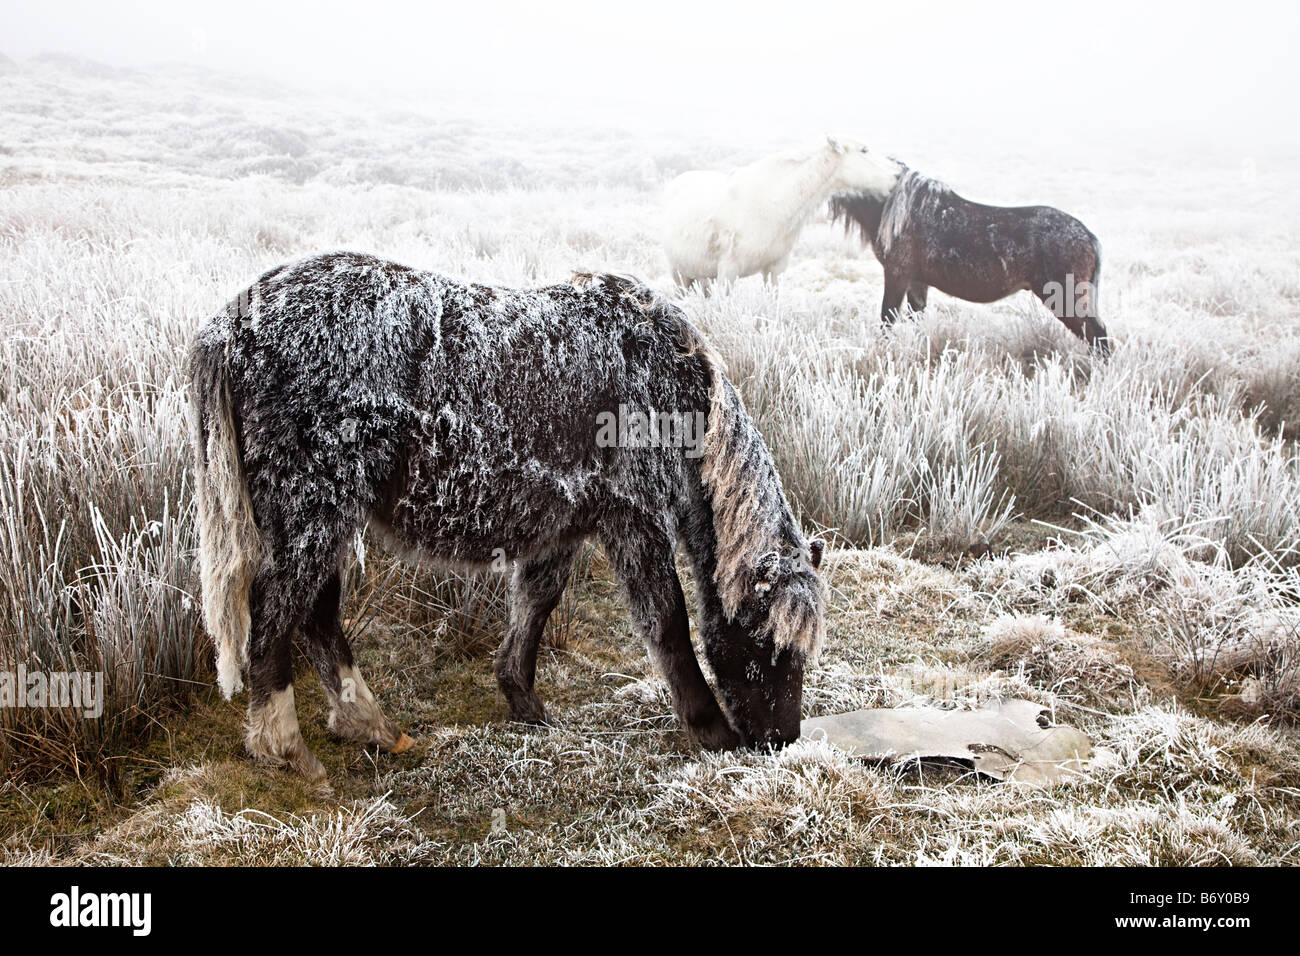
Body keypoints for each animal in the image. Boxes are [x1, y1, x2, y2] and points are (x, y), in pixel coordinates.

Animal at [189, 251, 826, 780]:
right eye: (768, 644)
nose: (780, 740)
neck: (659, 377)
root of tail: (232, 325)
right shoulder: (632, 521)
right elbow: (666, 622)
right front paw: (707, 726)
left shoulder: (567, 526)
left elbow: (534, 605)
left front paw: (523, 699)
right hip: (313, 512)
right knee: (276, 615)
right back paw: (284, 746)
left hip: (325, 517)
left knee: (316, 615)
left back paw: (371, 727)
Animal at [660, 137, 904, 287]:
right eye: (864, 150)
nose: (899, 172)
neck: (772, 202)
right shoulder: (728, 270)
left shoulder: (775, 268)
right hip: (679, 273)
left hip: (703, 275)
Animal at [826, 166, 1112, 356]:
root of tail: (1088, 236)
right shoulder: (917, 282)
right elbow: (916, 320)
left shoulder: (897, 276)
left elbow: (887, 320)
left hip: (1065, 298)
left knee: (1098, 337)